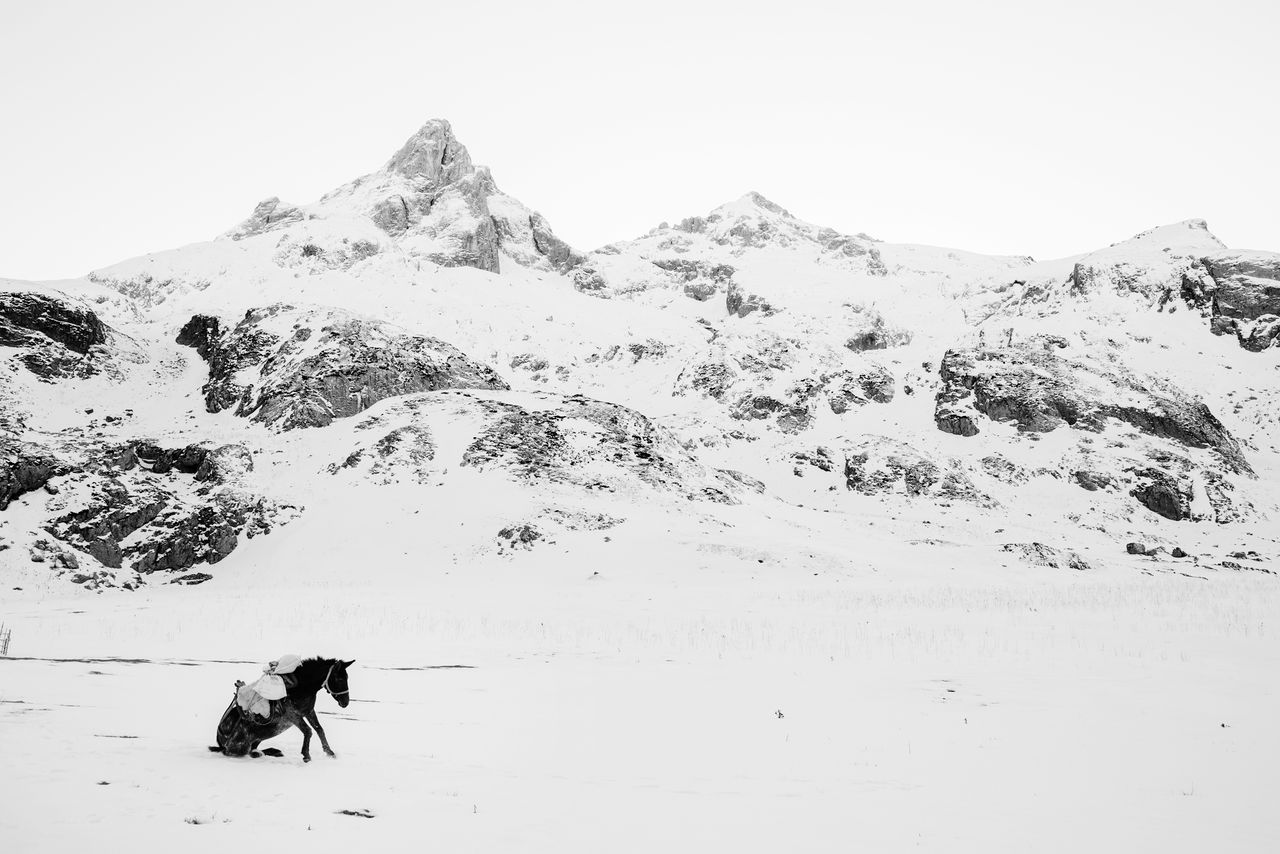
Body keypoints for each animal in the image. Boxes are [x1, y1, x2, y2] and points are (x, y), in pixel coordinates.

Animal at [207, 660, 355, 763]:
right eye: (340, 678)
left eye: (347, 677)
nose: (345, 702)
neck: (300, 688)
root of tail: (221, 743)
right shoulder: (291, 714)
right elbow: (308, 731)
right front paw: (306, 756)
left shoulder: (308, 711)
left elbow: (319, 729)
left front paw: (329, 752)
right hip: (240, 745)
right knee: (243, 752)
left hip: (258, 738)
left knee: (253, 749)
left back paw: (273, 751)